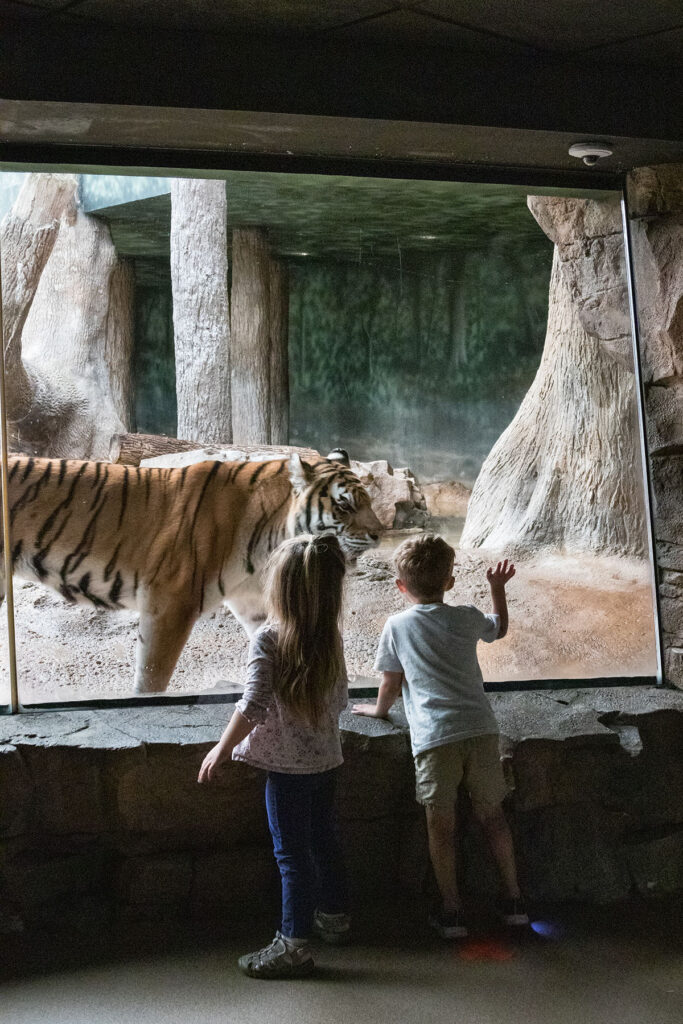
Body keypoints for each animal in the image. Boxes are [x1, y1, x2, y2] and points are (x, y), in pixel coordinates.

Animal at [1, 450, 385, 696]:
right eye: (344, 505)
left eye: (368, 501)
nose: (379, 534)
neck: (270, 534)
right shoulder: (170, 602)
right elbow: (152, 676)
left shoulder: (251, 601)